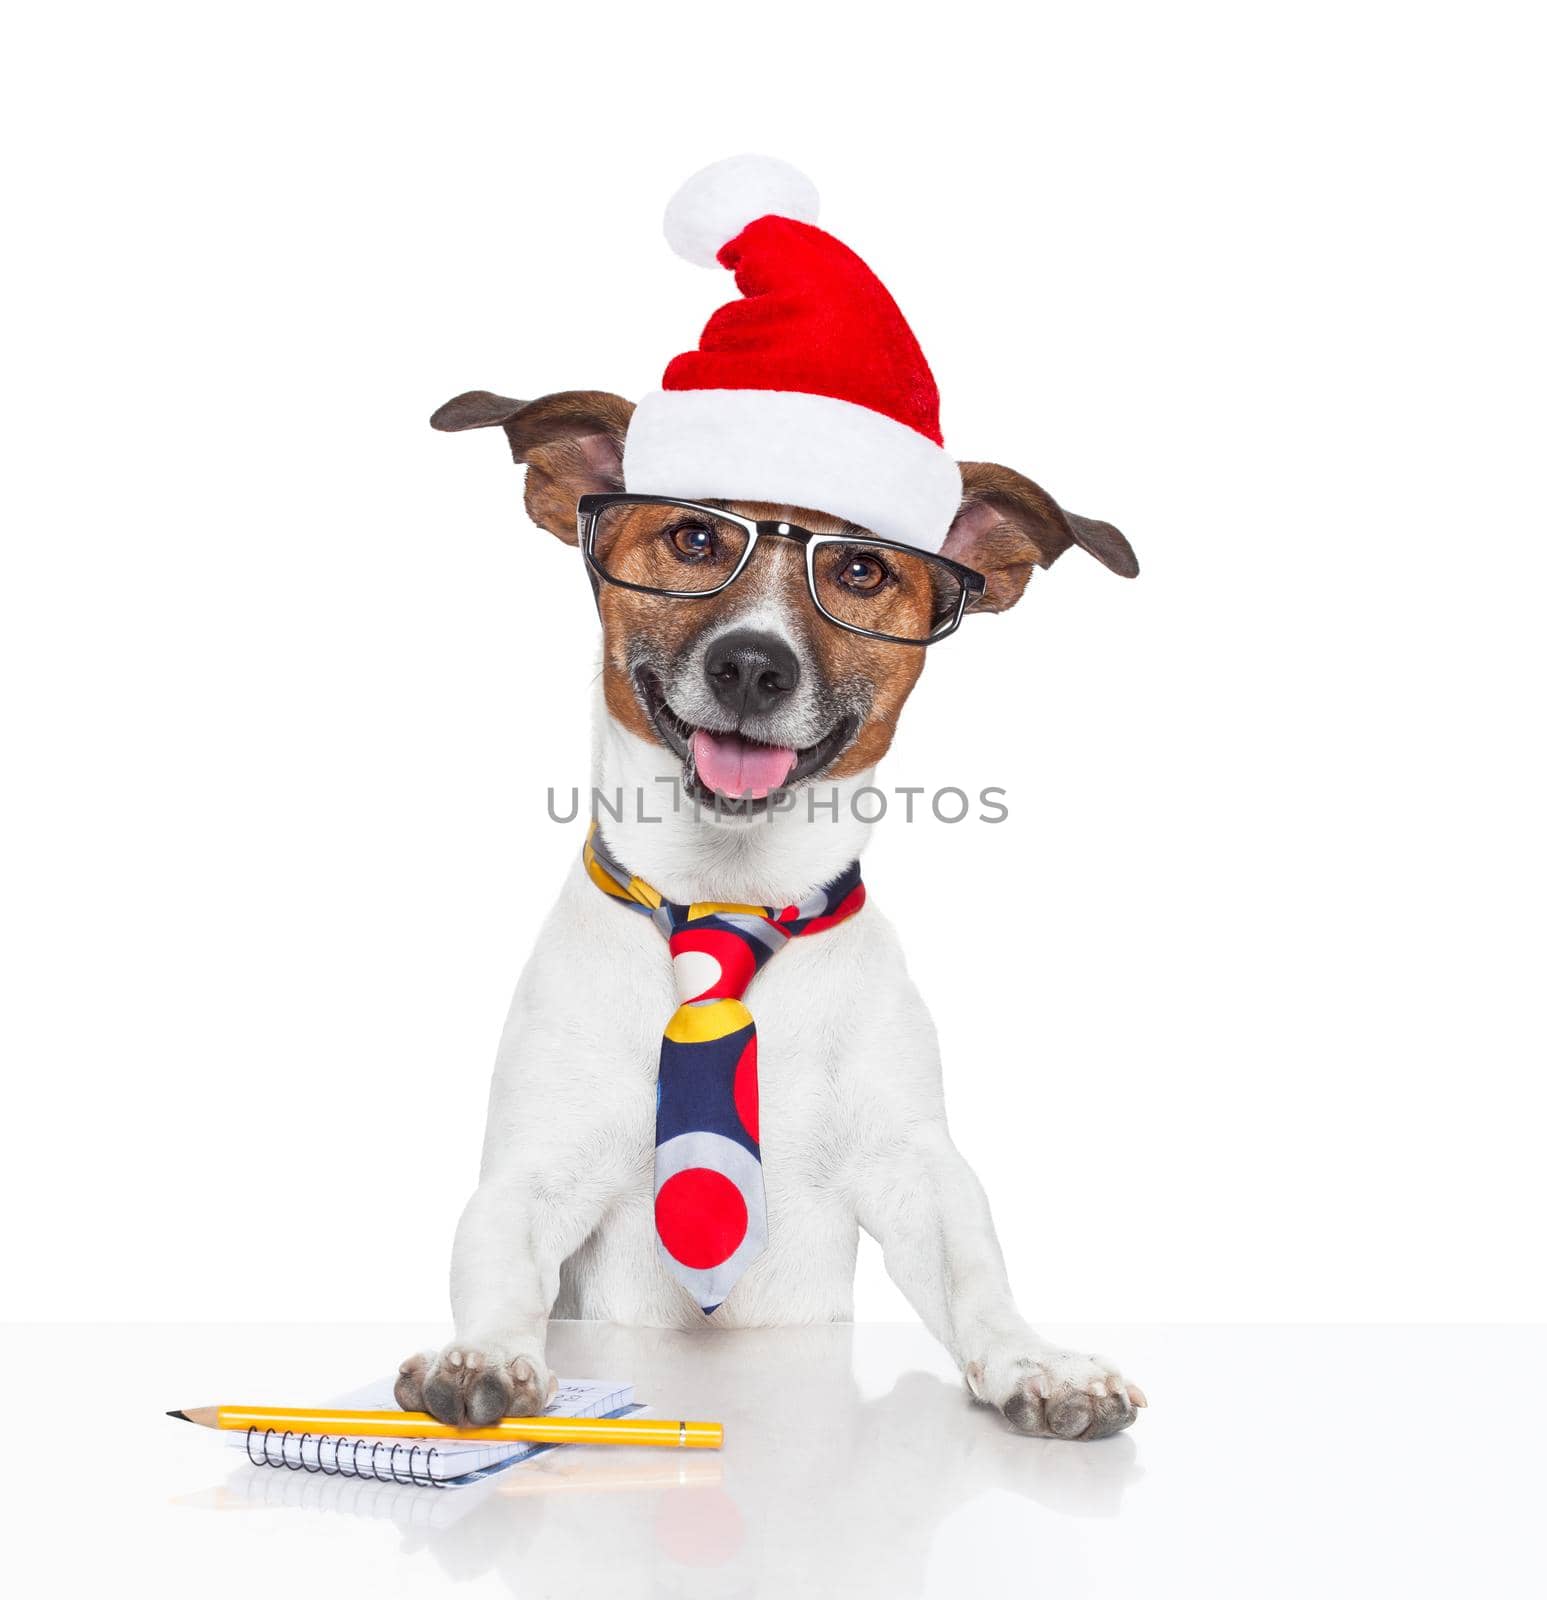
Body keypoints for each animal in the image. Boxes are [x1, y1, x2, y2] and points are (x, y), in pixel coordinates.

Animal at [396, 159, 1151, 1440]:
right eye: (695, 537)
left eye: (859, 570)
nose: (753, 666)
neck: (726, 902)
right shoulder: (530, 1174)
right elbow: (496, 1262)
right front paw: (481, 1355)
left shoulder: (914, 1168)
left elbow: (975, 1269)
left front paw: (1036, 1362)